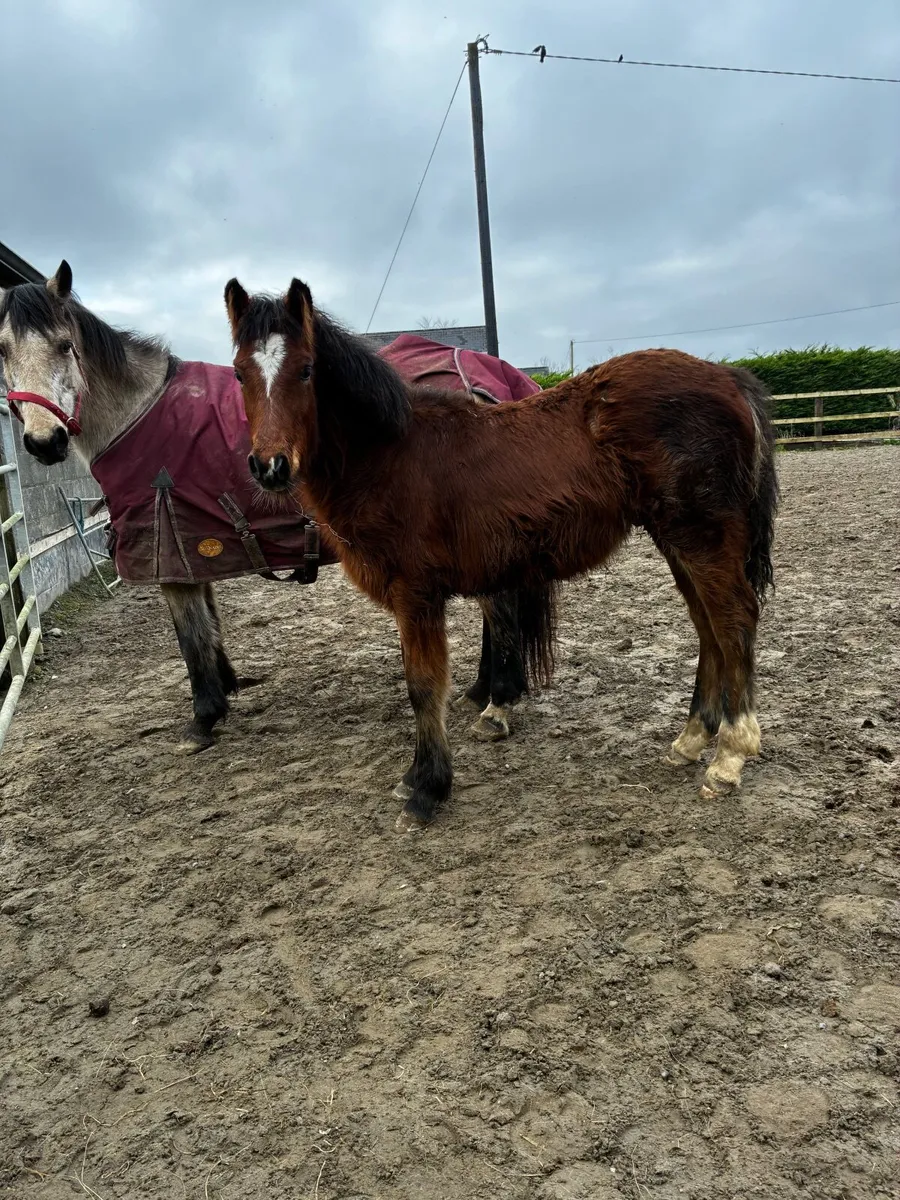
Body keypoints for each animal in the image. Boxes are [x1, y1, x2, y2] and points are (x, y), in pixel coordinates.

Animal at [0, 261, 542, 750]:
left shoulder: (168, 556)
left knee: (500, 606)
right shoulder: (195, 549)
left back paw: (497, 704)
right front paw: (225, 691)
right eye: (3, 351)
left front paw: (203, 718)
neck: (138, 415)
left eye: (64, 345)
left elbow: (190, 639)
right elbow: (210, 629)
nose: (44, 442)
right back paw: (481, 691)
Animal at [224, 276, 779, 832]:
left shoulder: (416, 595)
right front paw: (418, 776)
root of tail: (729, 377)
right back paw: (691, 740)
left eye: (306, 369)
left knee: (733, 618)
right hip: (675, 539)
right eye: (238, 372)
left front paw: (427, 789)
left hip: (701, 535)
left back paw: (729, 756)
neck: (392, 453)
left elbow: (423, 687)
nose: (270, 467)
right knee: (708, 626)